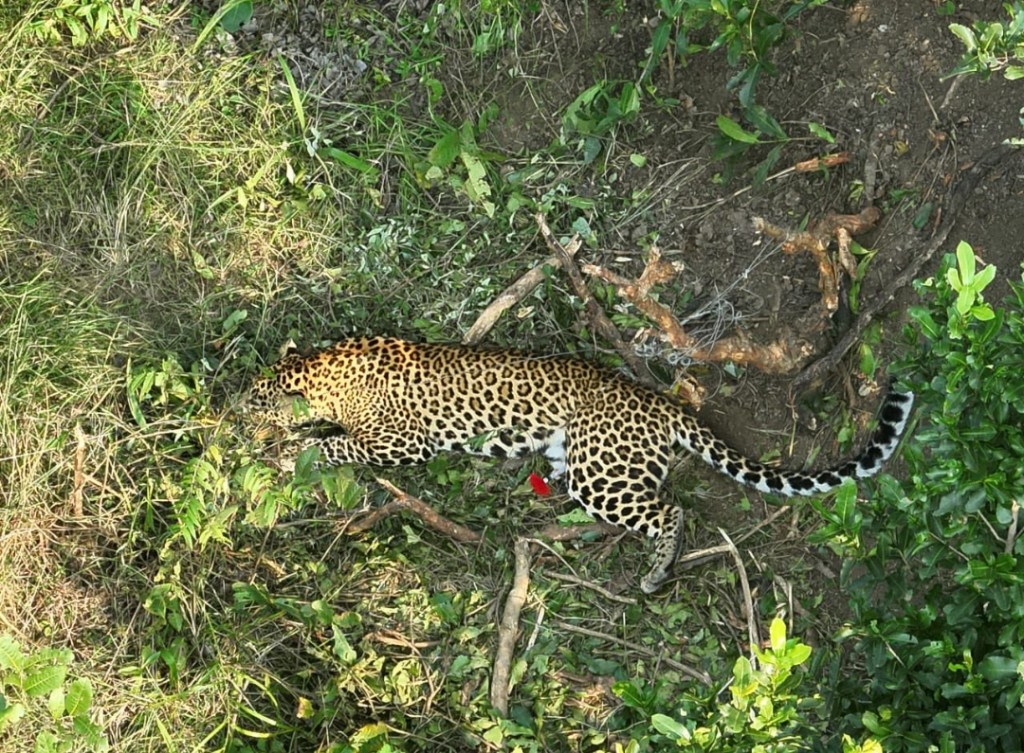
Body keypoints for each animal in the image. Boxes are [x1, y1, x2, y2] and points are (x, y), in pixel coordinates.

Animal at [244, 336, 914, 593]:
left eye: (254, 399)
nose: (235, 410)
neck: (328, 370)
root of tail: (660, 399)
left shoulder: (399, 443)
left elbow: (337, 446)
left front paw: (290, 452)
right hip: (580, 460)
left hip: (605, 471)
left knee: (668, 509)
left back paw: (656, 571)